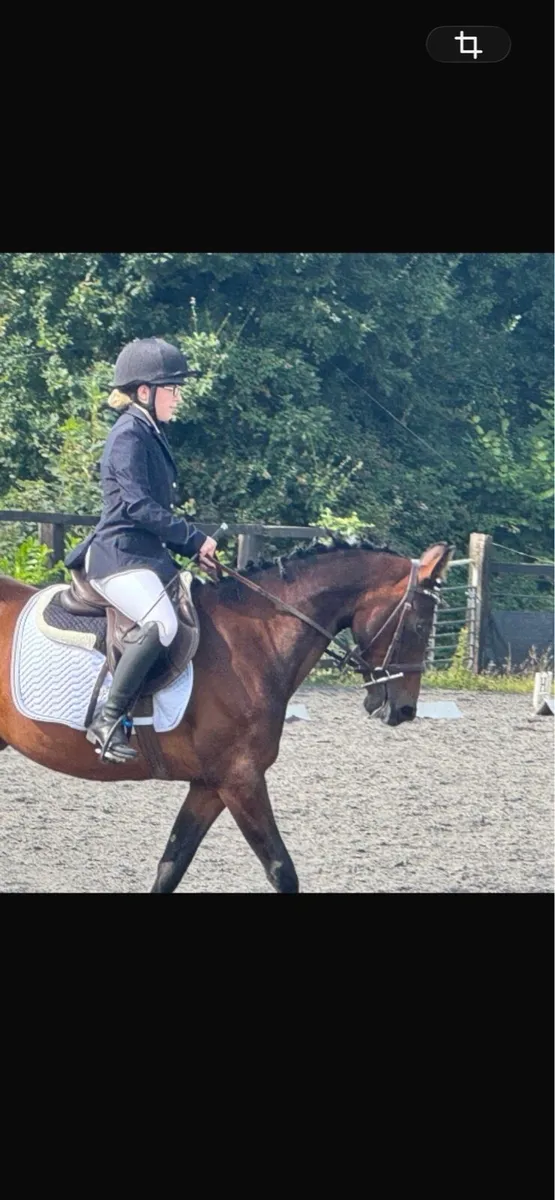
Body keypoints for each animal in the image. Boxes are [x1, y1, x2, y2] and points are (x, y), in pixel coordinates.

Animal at [0, 537, 452, 893]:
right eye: (418, 625)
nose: (405, 710)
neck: (257, 637)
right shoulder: (241, 779)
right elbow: (282, 871)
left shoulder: (209, 785)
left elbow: (171, 867)